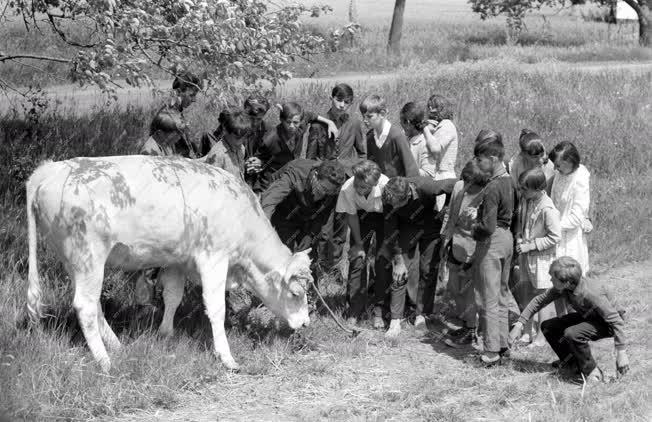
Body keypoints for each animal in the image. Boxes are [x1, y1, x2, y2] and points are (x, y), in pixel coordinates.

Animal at [29, 156, 314, 372]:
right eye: (295, 293)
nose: (306, 323)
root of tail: (51, 168)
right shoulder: (214, 258)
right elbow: (216, 308)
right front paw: (226, 357)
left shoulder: (177, 261)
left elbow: (173, 297)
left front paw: (166, 334)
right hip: (89, 256)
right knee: (85, 306)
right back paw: (105, 360)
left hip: (75, 263)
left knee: (93, 304)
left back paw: (116, 345)